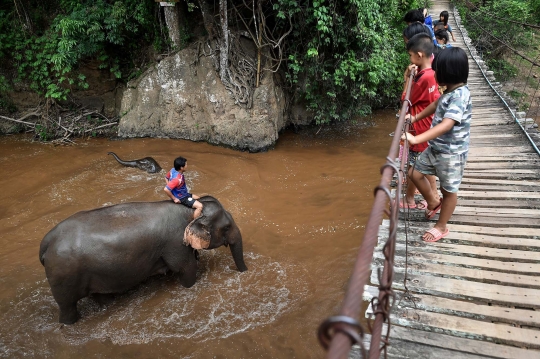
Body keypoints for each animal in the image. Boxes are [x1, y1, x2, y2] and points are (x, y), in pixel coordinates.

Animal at [39, 197, 247, 326]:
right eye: (226, 227)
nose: (244, 271)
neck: (190, 211)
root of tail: (46, 242)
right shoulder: (175, 242)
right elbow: (186, 269)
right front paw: (190, 286)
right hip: (64, 276)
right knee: (67, 307)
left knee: (101, 296)